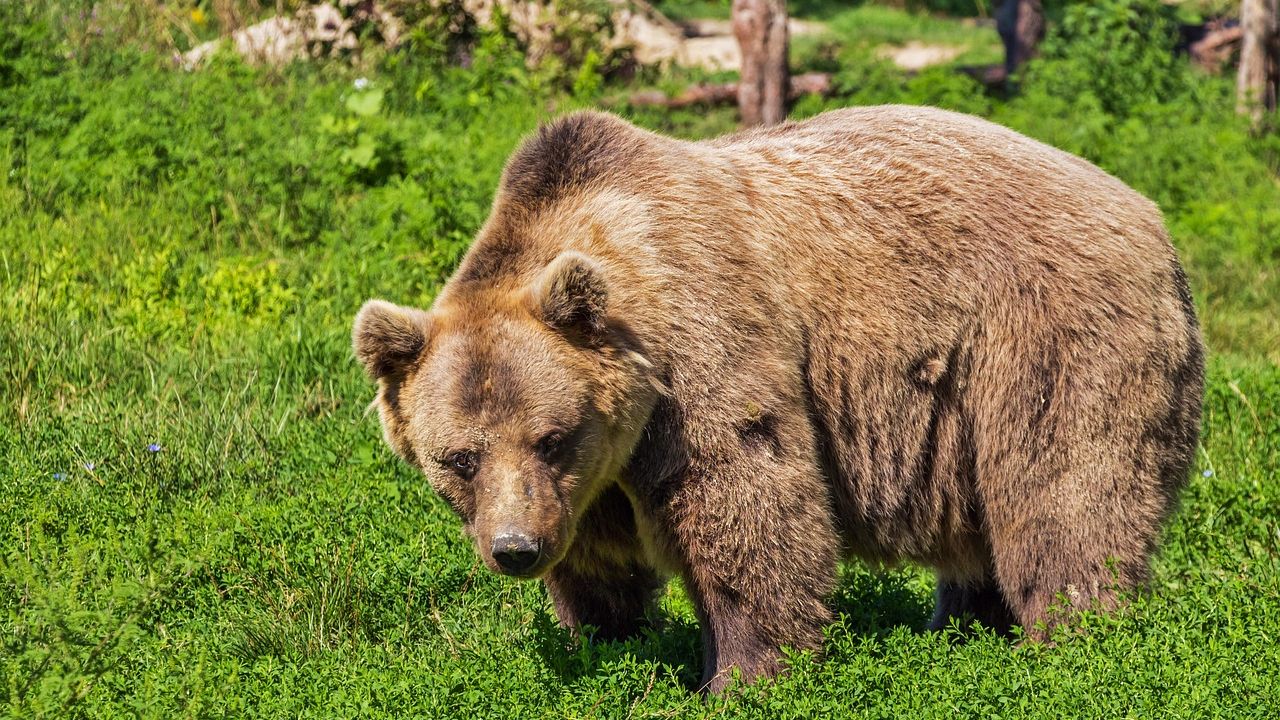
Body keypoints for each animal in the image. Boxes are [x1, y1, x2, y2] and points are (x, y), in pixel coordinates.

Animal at [352, 106, 1204, 693]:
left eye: (550, 436)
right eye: (458, 459)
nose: (515, 549)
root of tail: (1151, 217)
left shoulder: (701, 353)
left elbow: (746, 503)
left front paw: (740, 676)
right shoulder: (591, 478)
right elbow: (598, 561)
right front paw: (607, 639)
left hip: (1044, 337)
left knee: (1065, 494)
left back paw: (1074, 638)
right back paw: (962, 627)